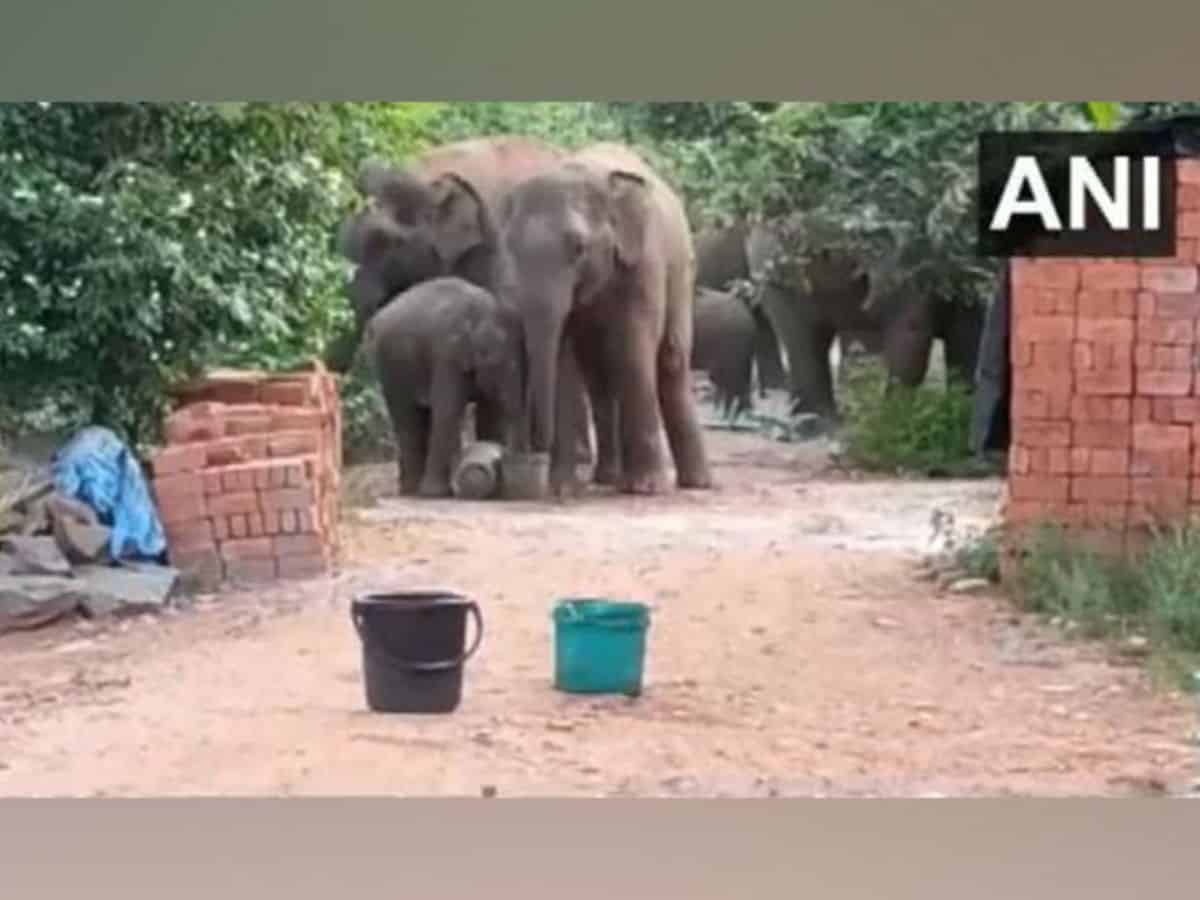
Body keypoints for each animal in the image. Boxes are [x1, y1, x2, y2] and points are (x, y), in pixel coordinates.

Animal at [364, 277, 525, 496]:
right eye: (509, 365)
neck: (483, 310)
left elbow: (491, 414)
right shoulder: (447, 354)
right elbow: (448, 411)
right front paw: (437, 493)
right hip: (390, 363)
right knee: (406, 416)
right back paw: (414, 490)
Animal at [496, 141, 710, 496]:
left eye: (578, 247)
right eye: (511, 247)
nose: (530, 454)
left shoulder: (644, 262)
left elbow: (634, 350)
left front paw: (646, 488)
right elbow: (563, 358)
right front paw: (561, 489)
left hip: (682, 270)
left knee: (670, 361)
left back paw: (695, 482)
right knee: (598, 377)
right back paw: (608, 478)